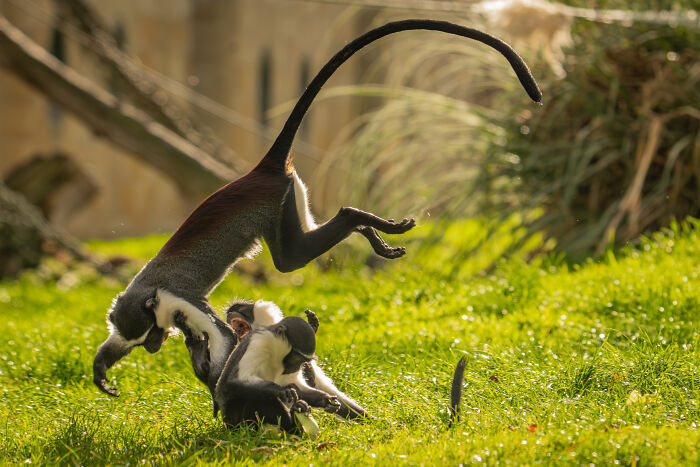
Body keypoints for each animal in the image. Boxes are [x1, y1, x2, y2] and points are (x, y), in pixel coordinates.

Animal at [93, 19, 542, 397]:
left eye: (152, 336)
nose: (153, 347)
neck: (150, 291)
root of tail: (261, 170)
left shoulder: (179, 299)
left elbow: (225, 340)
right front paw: (102, 367)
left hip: (275, 199)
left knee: (291, 258)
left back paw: (358, 220)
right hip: (289, 197)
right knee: (295, 249)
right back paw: (368, 232)